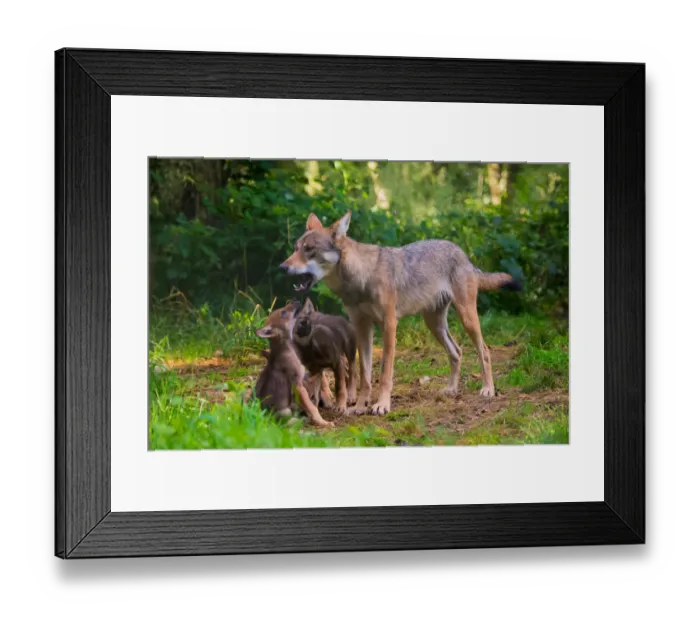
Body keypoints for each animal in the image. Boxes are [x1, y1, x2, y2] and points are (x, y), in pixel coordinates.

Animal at [280, 211, 522, 415]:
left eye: (309, 249)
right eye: (296, 247)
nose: (282, 267)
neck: (361, 278)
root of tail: (463, 254)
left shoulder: (389, 325)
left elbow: (385, 372)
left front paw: (381, 405)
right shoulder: (362, 327)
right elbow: (365, 375)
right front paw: (359, 406)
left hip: (467, 318)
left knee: (484, 350)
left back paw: (487, 389)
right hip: (434, 325)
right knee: (457, 352)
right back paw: (451, 390)